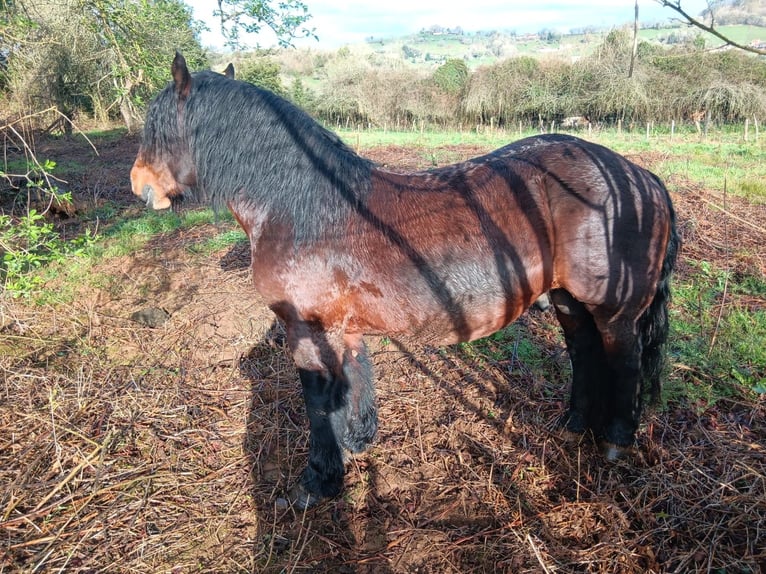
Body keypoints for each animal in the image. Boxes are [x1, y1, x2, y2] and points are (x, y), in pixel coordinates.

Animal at [131, 53, 679, 509]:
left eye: (157, 127)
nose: (140, 184)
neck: (302, 208)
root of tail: (638, 177)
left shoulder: (306, 331)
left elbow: (318, 404)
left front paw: (317, 482)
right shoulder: (342, 332)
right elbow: (351, 391)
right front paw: (354, 450)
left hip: (614, 311)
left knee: (623, 359)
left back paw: (615, 442)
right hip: (568, 301)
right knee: (585, 355)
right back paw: (572, 428)